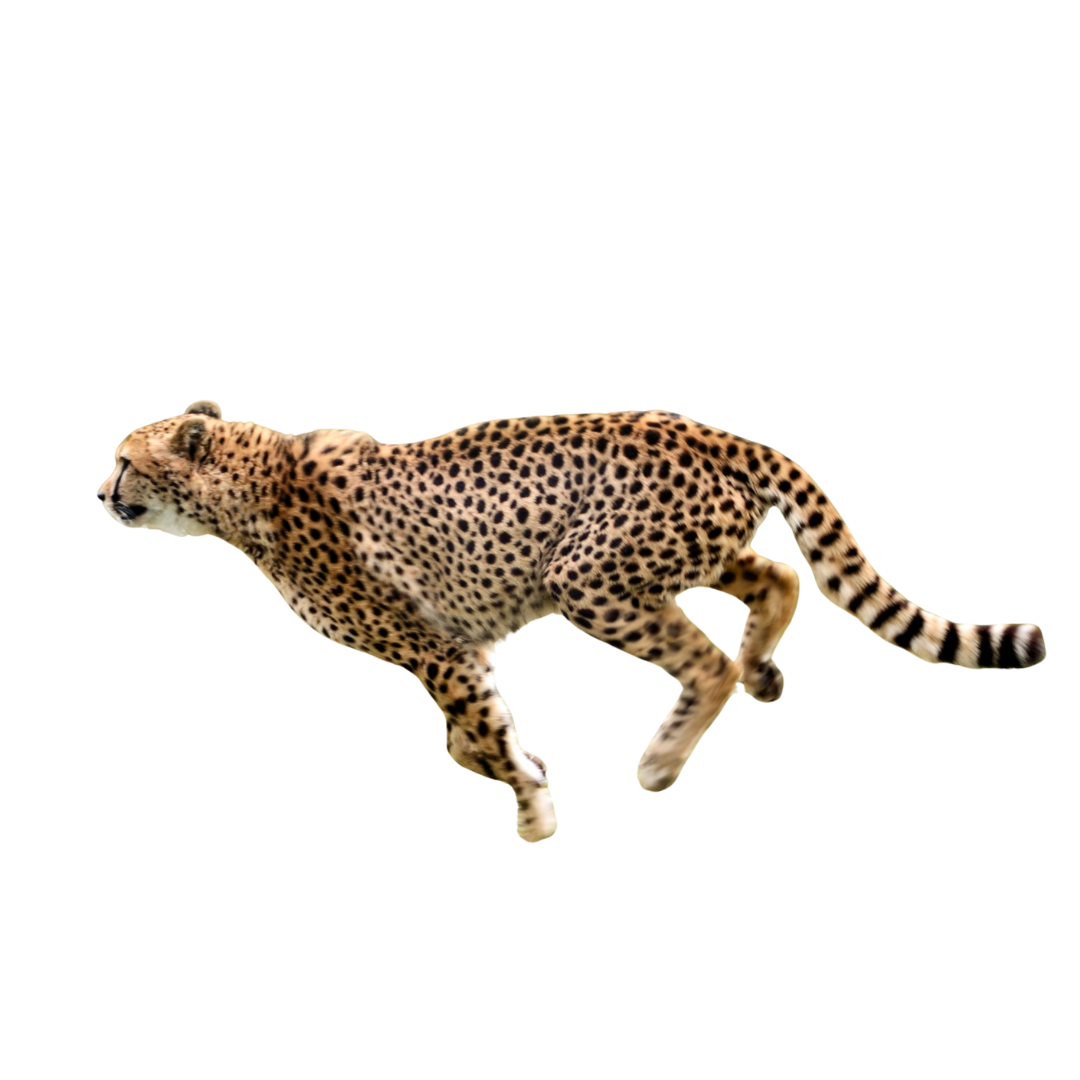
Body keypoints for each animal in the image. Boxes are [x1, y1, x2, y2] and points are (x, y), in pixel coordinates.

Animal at [97, 402, 1046, 843]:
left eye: (124, 462)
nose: (99, 493)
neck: (244, 486)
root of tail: (705, 429)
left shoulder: (439, 652)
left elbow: (476, 731)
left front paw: (532, 813)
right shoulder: (464, 648)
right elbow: (466, 740)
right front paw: (529, 769)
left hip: (591, 577)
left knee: (708, 664)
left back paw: (663, 760)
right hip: (684, 550)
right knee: (779, 576)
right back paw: (766, 671)